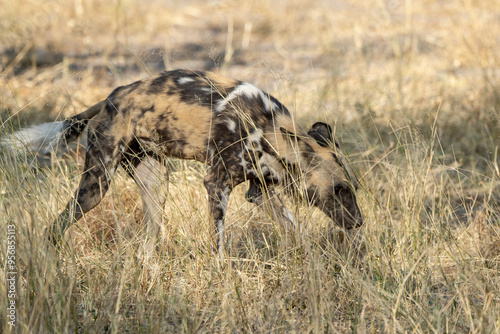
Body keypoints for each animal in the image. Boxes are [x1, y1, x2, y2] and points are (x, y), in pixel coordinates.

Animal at [3, 70, 364, 253]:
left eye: (353, 188)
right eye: (339, 189)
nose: (360, 222)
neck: (268, 129)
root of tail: (110, 98)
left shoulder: (260, 192)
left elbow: (296, 231)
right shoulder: (217, 184)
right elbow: (219, 242)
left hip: (155, 185)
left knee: (149, 239)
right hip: (96, 185)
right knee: (56, 225)